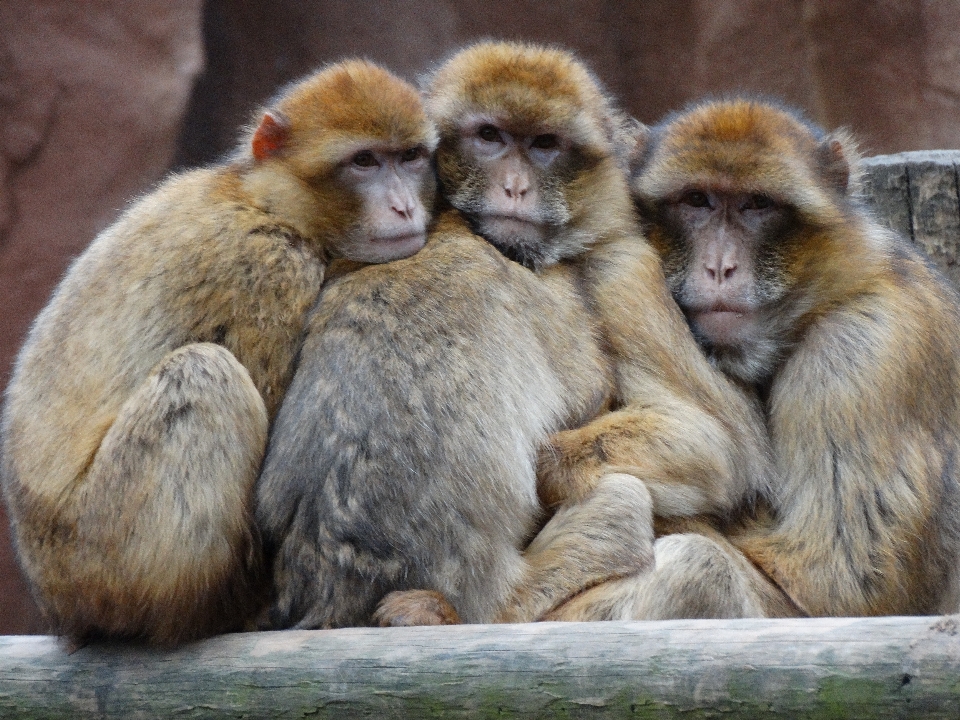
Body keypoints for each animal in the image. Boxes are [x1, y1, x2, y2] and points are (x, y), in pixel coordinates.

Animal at [0, 60, 438, 648]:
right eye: (365, 161)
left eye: (409, 157)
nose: (404, 205)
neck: (266, 201)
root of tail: (55, 597)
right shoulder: (271, 267)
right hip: (102, 552)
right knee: (204, 375)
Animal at [251, 40, 768, 632]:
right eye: (490, 137)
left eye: (544, 145)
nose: (516, 187)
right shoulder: (615, 267)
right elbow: (714, 445)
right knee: (632, 514)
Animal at [540, 98, 960, 620]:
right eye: (697, 200)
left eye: (757, 204)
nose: (720, 266)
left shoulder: (860, 354)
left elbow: (834, 588)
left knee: (701, 568)